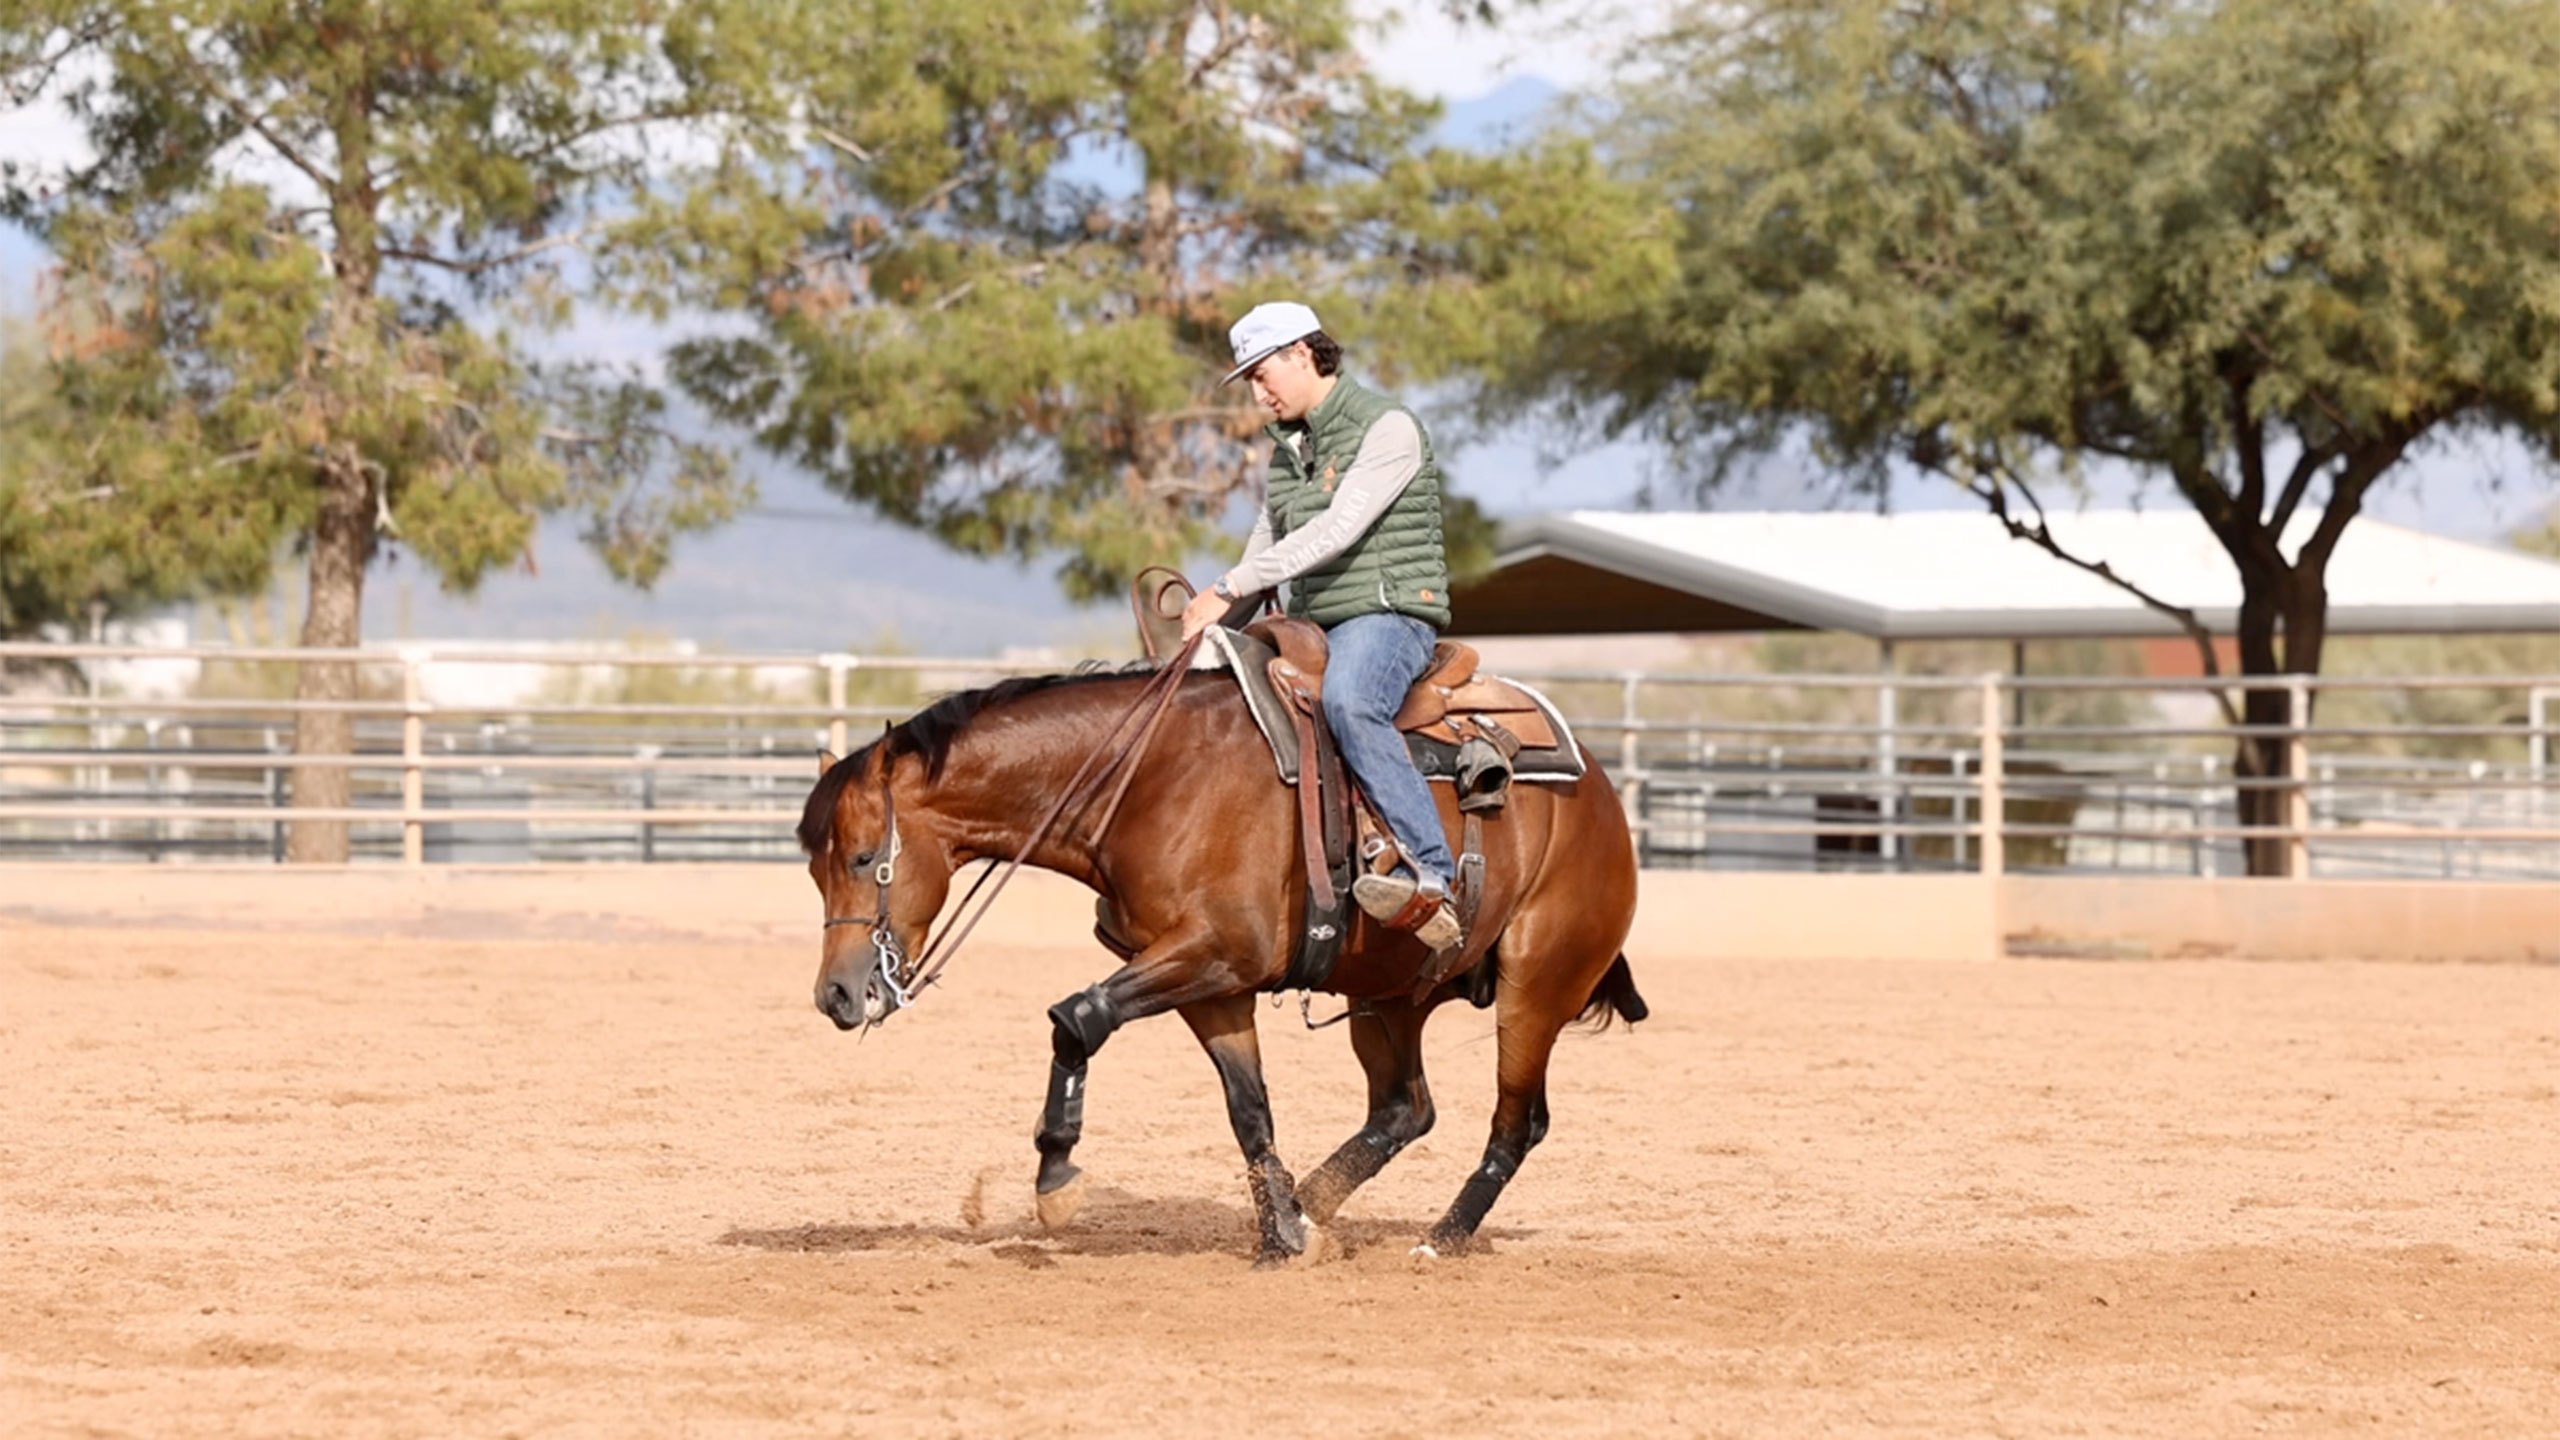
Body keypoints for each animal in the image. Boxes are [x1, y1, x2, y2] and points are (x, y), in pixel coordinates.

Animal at [797, 659, 1645, 1265]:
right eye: (814, 866)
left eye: (866, 857)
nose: (837, 994)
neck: (1147, 777)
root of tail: (1602, 796)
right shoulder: (1212, 985)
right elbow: (1249, 1108)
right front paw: (1283, 1235)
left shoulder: (1212, 954)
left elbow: (1075, 1017)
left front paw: (1057, 1177)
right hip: (1391, 996)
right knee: (1405, 1107)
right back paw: (1316, 1207)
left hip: (1536, 985)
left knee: (1516, 1121)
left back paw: (1442, 1238)